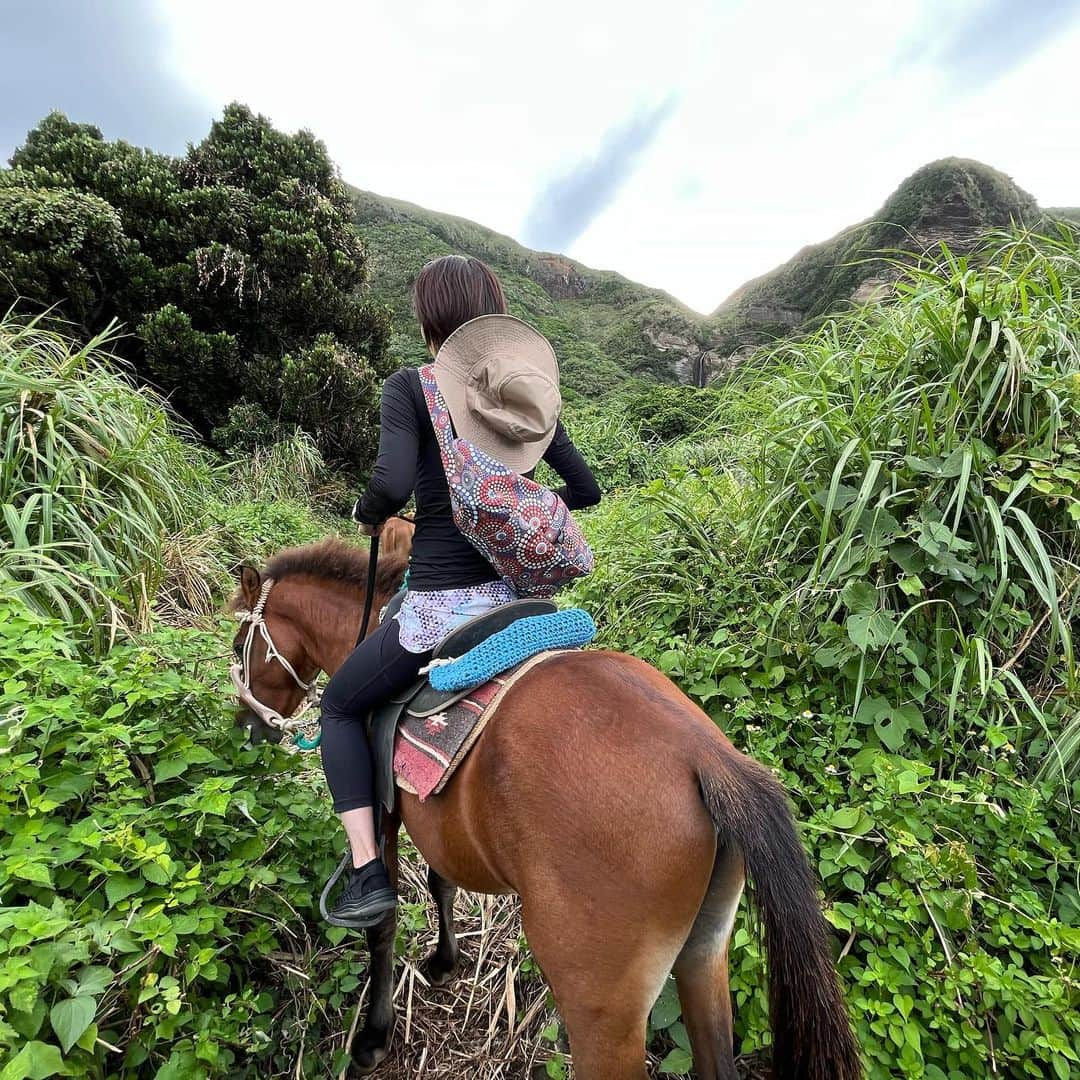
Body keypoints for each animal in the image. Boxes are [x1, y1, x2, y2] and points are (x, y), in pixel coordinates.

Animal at [227, 540, 859, 1080]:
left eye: (239, 649)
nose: (248, 729)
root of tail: (705, 757)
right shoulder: (438, 820)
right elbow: (441, 881)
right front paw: (445, 960)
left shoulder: (382, 809)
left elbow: (382, 921)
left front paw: (375, 1036)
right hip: (705, 956)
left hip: (601, 1010)